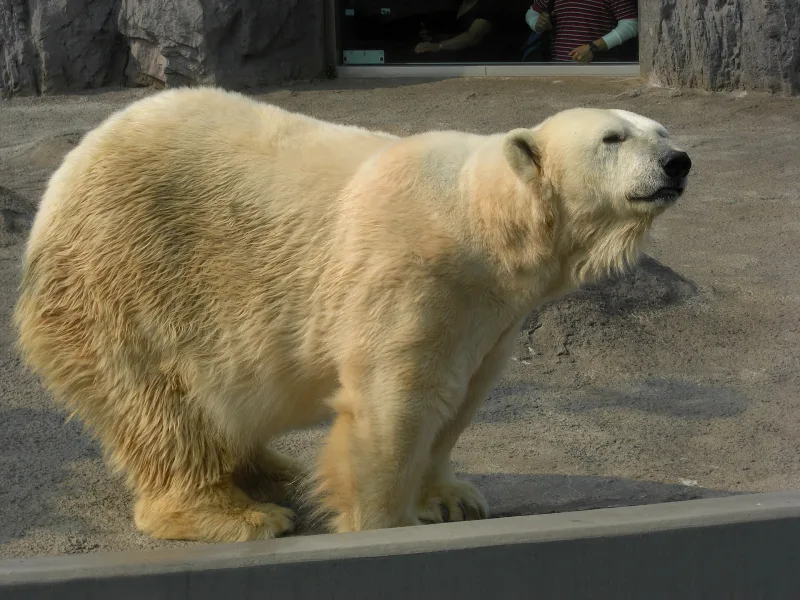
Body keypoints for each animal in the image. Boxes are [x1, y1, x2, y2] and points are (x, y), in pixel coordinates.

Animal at [14, 87, 691, 543]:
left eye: (661, 131)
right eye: (612, 138)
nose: (678, 161)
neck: (482, 219)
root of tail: (62, 186)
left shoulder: (492, 314)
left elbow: (461, 399)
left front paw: (453, 498)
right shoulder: (411, 273)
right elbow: (396, 401)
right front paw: (388, 523)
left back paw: (271, 470)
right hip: (133, 278)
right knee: (165, 408)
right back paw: (238, 513)